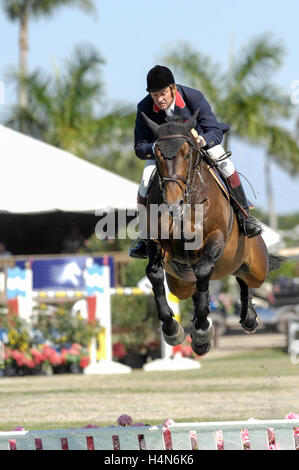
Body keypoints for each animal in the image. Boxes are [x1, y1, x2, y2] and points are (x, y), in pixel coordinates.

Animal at [141, 108, 282, 354]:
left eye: (188, 154)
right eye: (157, 155)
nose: (173, 203)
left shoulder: (215, 238)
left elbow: (205, 269)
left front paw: (200, 330)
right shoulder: (157, 243)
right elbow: (155, 274)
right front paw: (172, 329)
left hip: (257, 268)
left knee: (244, 279)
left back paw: (248, 318)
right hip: (180, 283)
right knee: (198, 286)